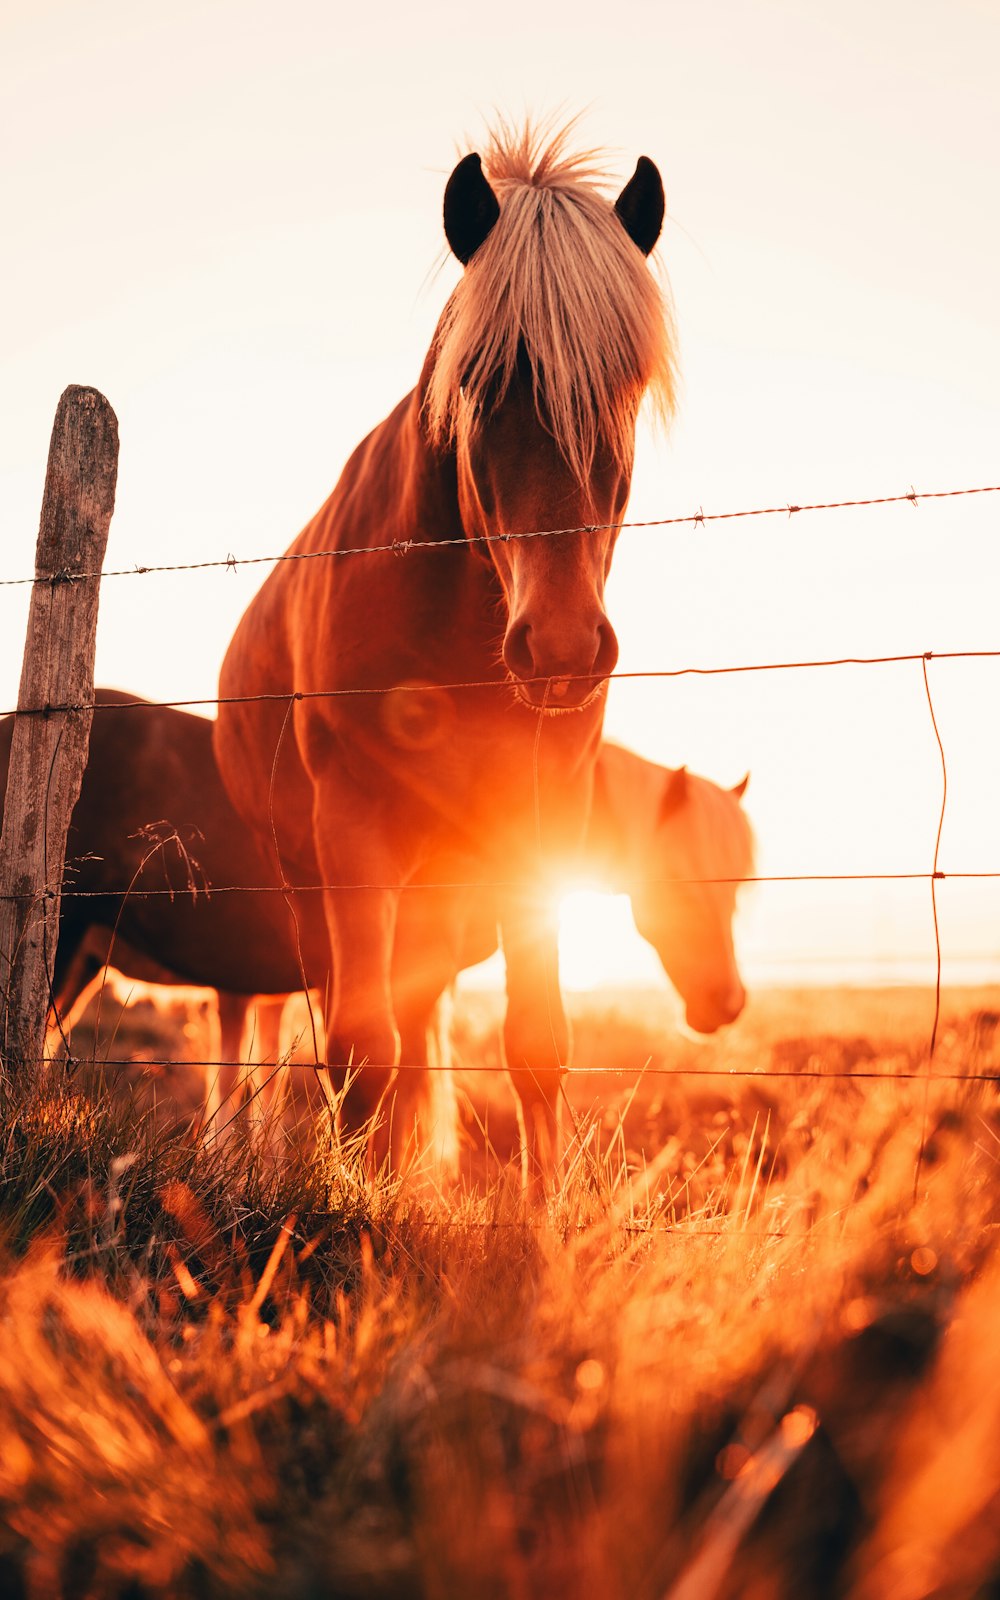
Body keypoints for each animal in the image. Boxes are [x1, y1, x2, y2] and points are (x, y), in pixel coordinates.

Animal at [212, 121, 675, 1177]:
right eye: (478, 381)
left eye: (624, 385)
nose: (560, 645)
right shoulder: (351, 826)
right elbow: (356, 1052)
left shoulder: (536, 828)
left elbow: (537, 1044)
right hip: (313, 883)